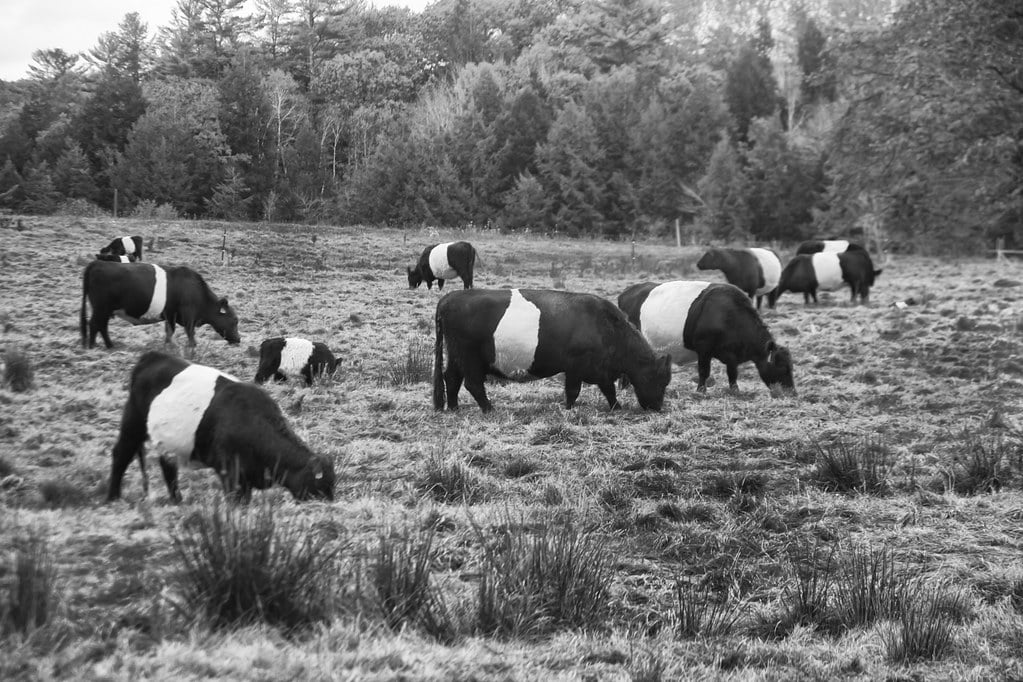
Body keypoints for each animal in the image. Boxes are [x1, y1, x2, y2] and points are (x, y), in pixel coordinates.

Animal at [80, 260, 241, 349]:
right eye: (234, 320)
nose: (238, 340)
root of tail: (98, 263)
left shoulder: (170, 315)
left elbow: (169, 331)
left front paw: (168, 345)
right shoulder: (188, 314)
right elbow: (189, 332)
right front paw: (192, 346)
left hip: (106, 310)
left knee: (101, 326)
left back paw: (109, 346)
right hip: (101, 308)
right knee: (94, 324)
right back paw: (93, 347)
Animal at [106, 351, 335, 503]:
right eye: (320, 486)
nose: (331, 503)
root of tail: (151, 357)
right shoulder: (230, 475)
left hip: (167, 442)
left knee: (168, 467)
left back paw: (177, 500)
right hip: (132, 425)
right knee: (121, 455)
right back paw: (113, 497)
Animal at [433, 288, 672, 412]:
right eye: (660, 379)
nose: (657, 407)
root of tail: (450, 297)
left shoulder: (601, 370)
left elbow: (609, 390)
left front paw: (616, 407)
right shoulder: (575, 366)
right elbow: (573, 390)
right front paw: (568, 408)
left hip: (456, 355)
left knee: (451, 378)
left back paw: (453, 407)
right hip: (470, 356)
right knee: (472, 383)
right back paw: (489, 408)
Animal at [618, 281, 795, 396]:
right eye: (782, 367)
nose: (792, 392)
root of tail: (627, 291)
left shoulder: (731, 355)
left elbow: (732, 373)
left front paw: (735, 390)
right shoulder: (703, 349)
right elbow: (704, 370)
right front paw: (701, 391)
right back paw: (624, 387)